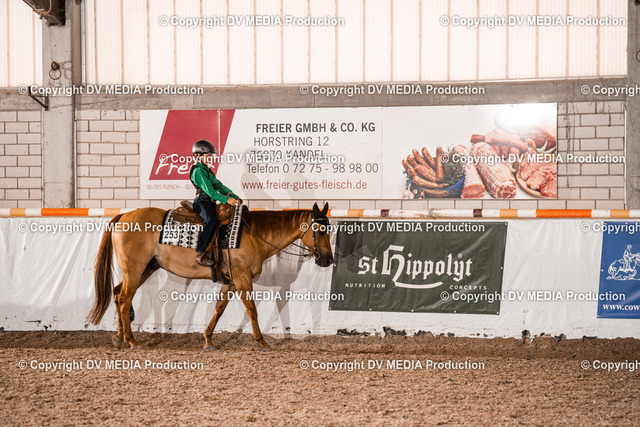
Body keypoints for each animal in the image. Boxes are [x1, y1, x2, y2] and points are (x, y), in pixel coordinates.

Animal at [86, 202, 334, 350]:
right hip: (135, 269)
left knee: (117, 294)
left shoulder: (232, 282)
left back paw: (119, 337)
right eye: (320, 230)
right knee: (124, 298)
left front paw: (207, 339)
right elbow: (251, 309)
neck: (254, 234)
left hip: (146, 268)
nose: (328, 260)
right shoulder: (243, 278)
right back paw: (131, 340)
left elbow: (219, 308)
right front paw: (261, 341)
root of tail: (123, 216)